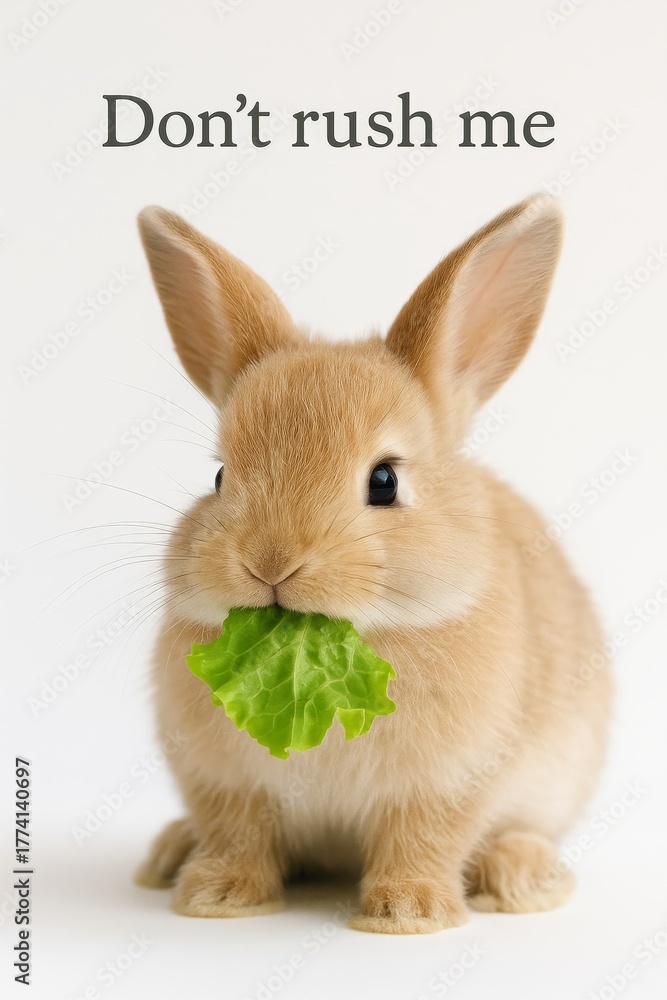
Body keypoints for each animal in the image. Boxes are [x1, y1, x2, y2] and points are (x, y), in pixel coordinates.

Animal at [133, 195, 613, 934]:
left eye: (384, 481)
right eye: (218, 477)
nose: (271, 563)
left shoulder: (451, 780)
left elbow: (424, 836)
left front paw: (407, 913)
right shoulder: (224, 783)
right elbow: (237, 834)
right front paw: (218, 899)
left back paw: (522, 878)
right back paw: (168, 856)